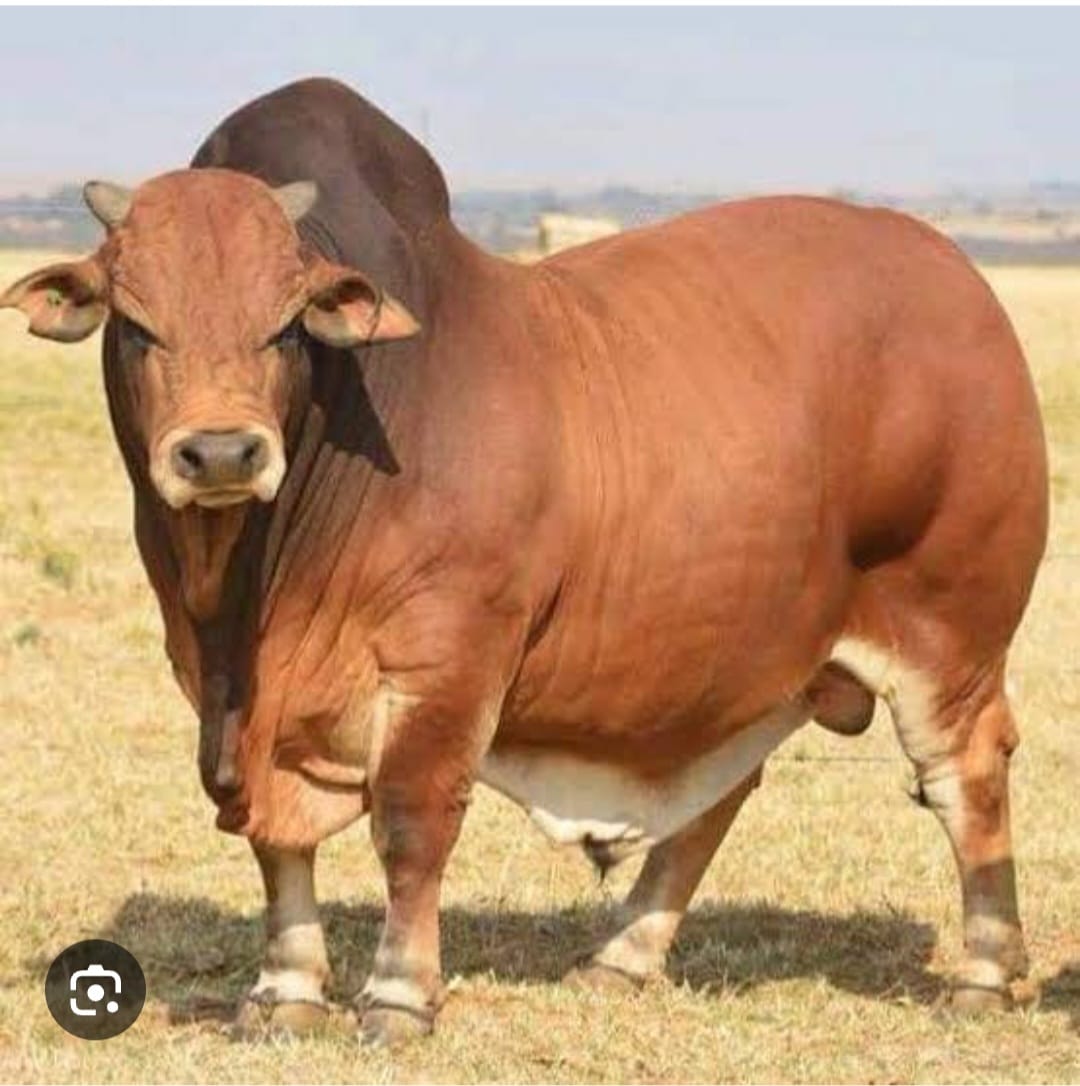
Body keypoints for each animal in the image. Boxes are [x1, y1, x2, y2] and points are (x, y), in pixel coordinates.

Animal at [1, 78, 1047, 1045]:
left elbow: (412, 824)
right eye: (138, 321)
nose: (221, 454)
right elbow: (271, 841)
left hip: (949, 629)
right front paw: (286, 991)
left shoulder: (447, 659)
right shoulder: (227, 697)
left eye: (287, 322)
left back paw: (984, 974)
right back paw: (622, 958)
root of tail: (956, 275)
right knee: (720, 796)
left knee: (967, 774)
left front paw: (398, 997)